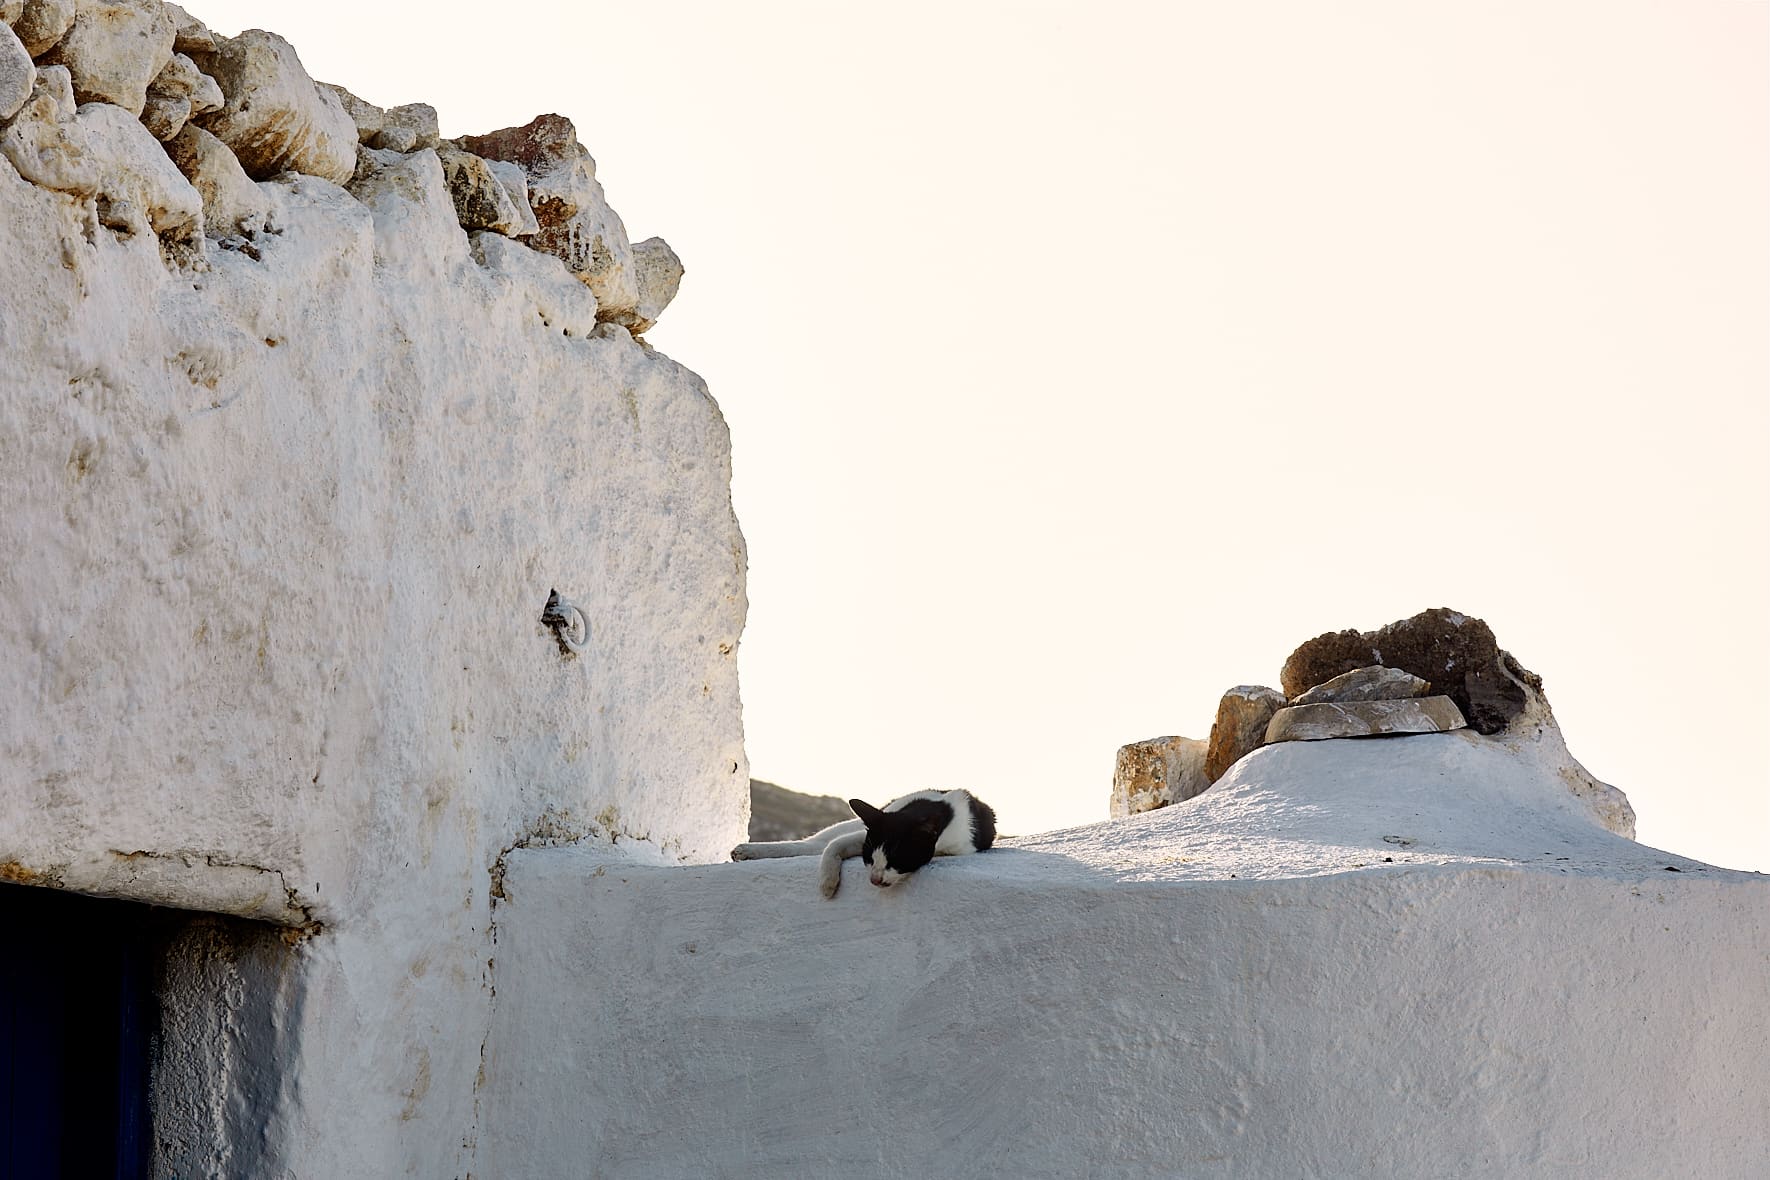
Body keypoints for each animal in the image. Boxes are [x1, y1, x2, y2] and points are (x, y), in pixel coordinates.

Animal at [729, 789, 998, 898]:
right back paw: (747, 850)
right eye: (869, 858)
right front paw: (828, 883)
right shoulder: (866, 833)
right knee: (813, 843)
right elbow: (833, 846)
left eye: (896, 859)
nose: (875, 879)